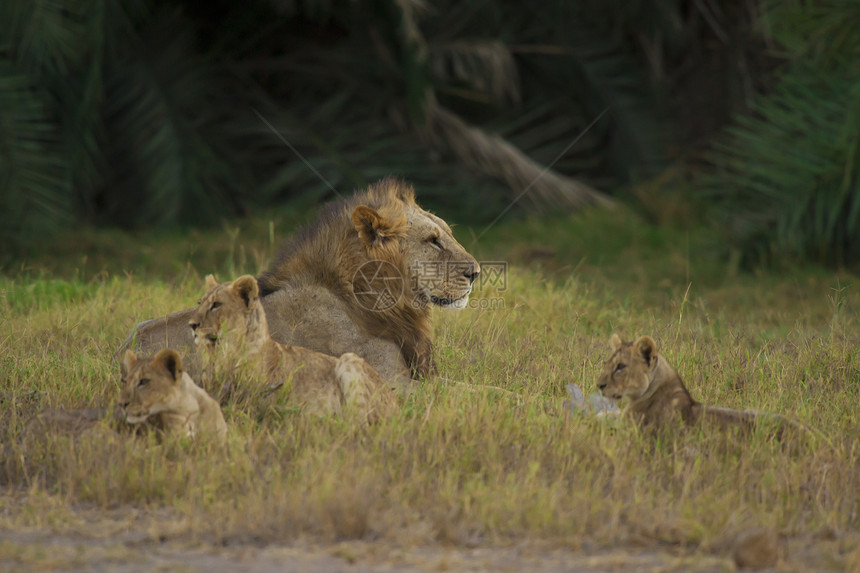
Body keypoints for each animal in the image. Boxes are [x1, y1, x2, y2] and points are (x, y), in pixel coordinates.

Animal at [188, 274, 396, 424]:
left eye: (216, 305)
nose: (192, 324)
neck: (221, 352)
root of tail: (395, 402)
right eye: (200, 303)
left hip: (349, 359)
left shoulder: (257, 399)